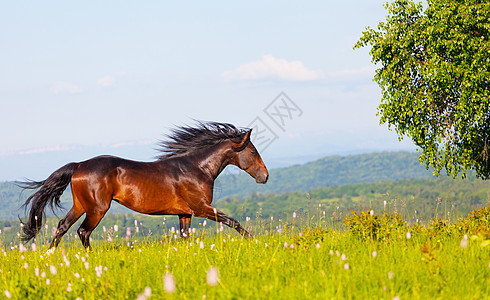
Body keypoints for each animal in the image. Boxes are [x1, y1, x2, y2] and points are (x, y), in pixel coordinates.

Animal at [20, 120, 268, 250]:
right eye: (252, 152)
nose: (264, 177)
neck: (197, 168)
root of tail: (79, 165)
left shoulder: (185, 213)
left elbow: (185, 237)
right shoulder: (201, 208)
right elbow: (232, 221)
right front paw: (255, 241)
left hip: (81, 205)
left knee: (63, 226)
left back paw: (51, 255)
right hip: (97, 208)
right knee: (82, 231)